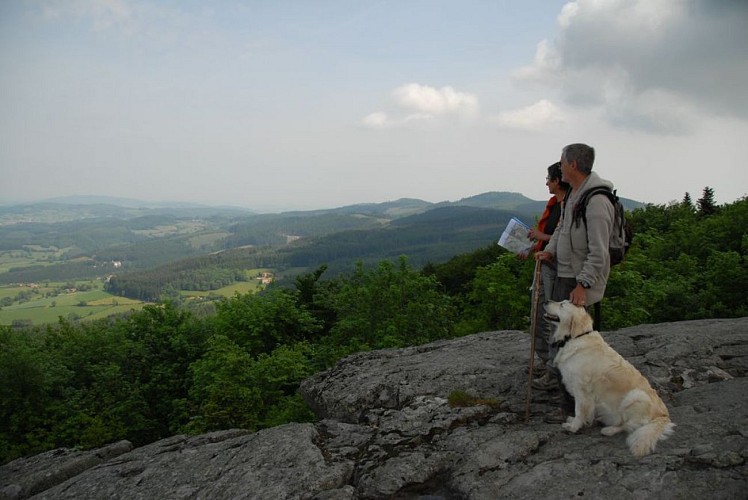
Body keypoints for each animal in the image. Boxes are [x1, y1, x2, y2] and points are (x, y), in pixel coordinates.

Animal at [544, 300, 672, 458]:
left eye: (562, 305)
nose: (546, 301)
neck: (576, 337)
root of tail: (663, 415)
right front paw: (574, 421)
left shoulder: (582, 390)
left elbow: (579, 411)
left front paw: (573, 427)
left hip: (636, 396)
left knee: (627, 425)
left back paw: (609, 430)